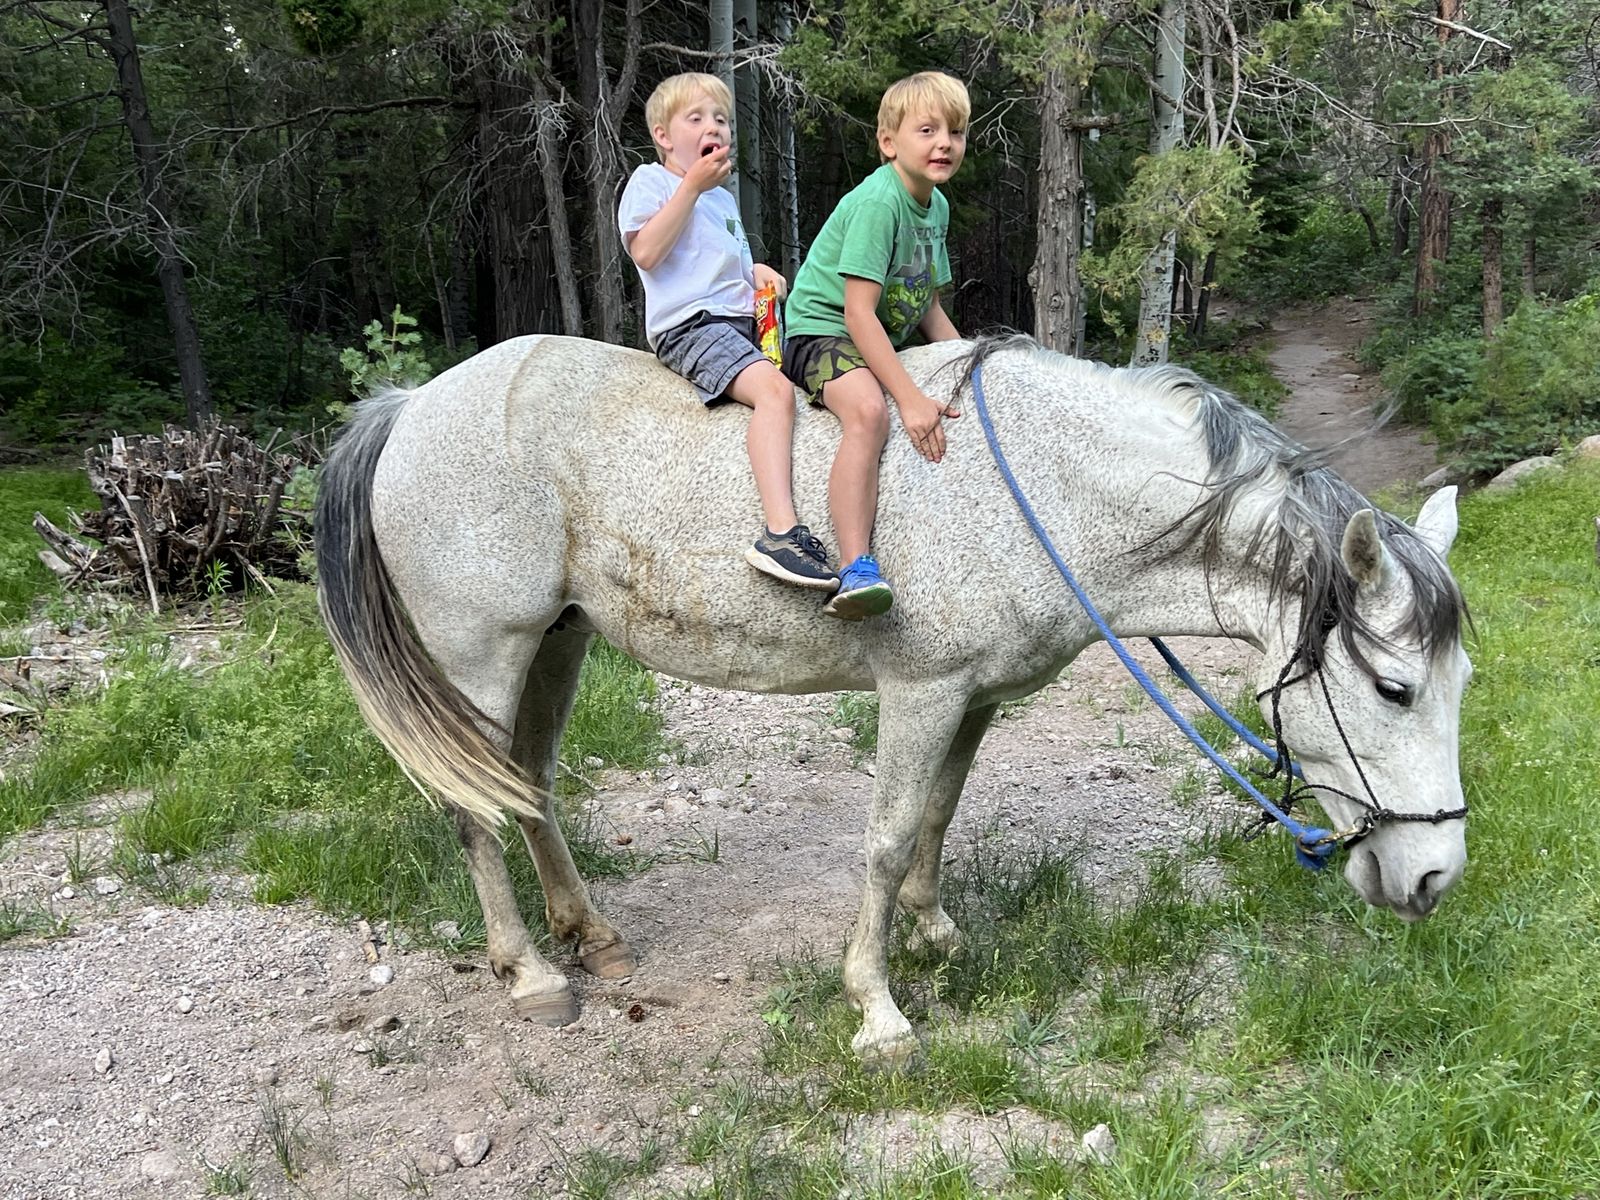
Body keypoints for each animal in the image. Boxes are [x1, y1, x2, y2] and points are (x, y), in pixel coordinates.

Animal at [314, 333, 1470, 1063]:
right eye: (1392, 686)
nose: (1434, 879)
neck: (1043, 488)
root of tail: (410, 406)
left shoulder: (976, 698)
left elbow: (937, 817)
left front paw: (935, 934)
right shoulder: (920, 691)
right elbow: (883, 836)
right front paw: (877, 1008)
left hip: (557, 640)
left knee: (529, 784)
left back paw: (589, 939)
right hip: (480, 653)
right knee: (474, 808)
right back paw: (529, 975)